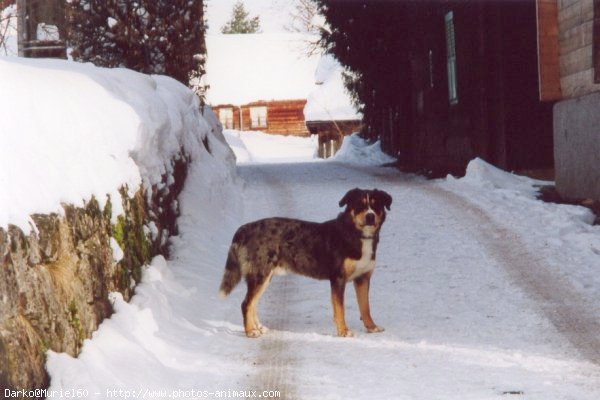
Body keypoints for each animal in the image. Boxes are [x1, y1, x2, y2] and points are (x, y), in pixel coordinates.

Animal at [218, 188, 392, 338]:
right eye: (360, 204)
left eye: (376, 205)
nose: (370, 216)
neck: (355, 234)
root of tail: (245, 228)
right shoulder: (338, 279)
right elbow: (340, 310)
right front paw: (343, 331)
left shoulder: (363, 278)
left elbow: (365, 307)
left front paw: (372, 327)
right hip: (260, 275)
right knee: (246, 304)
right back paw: (250, 331)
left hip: (264, 277)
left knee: (252, 304)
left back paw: (259, 328)